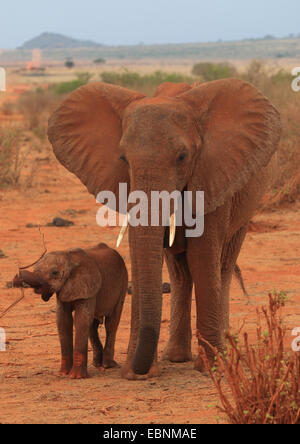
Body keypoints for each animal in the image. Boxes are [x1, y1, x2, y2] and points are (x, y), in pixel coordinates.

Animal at [14, 243, 127, 378]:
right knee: (92, 326)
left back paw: (108, 365)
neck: (69, 258)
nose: (17, 274)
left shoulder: (87, 286)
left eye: (55, 272)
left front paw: (76, 377)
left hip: (123, 283)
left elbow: (81, 320)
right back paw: (97, 364)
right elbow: (63, 321)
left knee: (111, 323)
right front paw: (63, 374)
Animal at [48, 79, 282, 378]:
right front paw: (136, 374)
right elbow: (144, 256)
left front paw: (211, 368)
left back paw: (224, 355)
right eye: (123, 159)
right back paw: (176, 357)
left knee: (223, 266)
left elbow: (203, 257)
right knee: (180, 272)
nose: (136, 369)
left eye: (182, 157)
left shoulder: (212, 174)